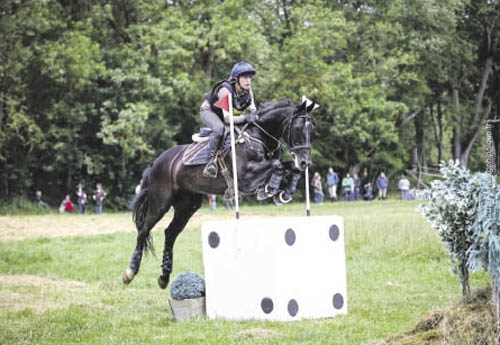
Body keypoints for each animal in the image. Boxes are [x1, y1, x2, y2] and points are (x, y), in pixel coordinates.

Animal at [122, 95, 316, 288]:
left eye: (311, 129)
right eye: (298, 128)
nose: (306, 162)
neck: (259, 136)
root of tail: (156, 162)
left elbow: (289, 167)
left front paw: (285, 192)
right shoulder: (245, 177)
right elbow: (277, 165)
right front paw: (271, 188)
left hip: (187, 206)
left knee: (170, 233)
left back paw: (164, 277)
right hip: (160, 203)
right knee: (143, 230)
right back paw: (130, 272)